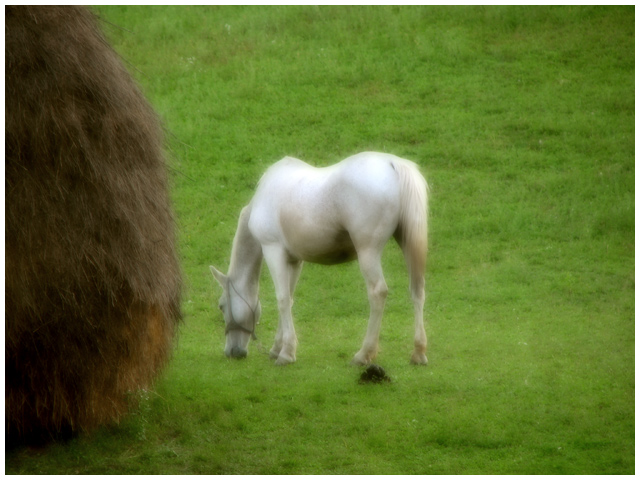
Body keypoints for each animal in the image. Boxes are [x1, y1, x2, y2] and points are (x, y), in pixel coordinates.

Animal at [211, 152, 430, 366]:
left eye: (221, 305)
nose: (232, 352)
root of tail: (391, 163)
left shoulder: (273, 251)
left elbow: (282, 299)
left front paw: (286, 353)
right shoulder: (294, 261)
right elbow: (289, 297)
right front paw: (277, 348)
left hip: (368, 252)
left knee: (378, 293)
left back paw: (363, 354)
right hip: (407, 244)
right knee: (417, 290)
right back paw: (418, 352)